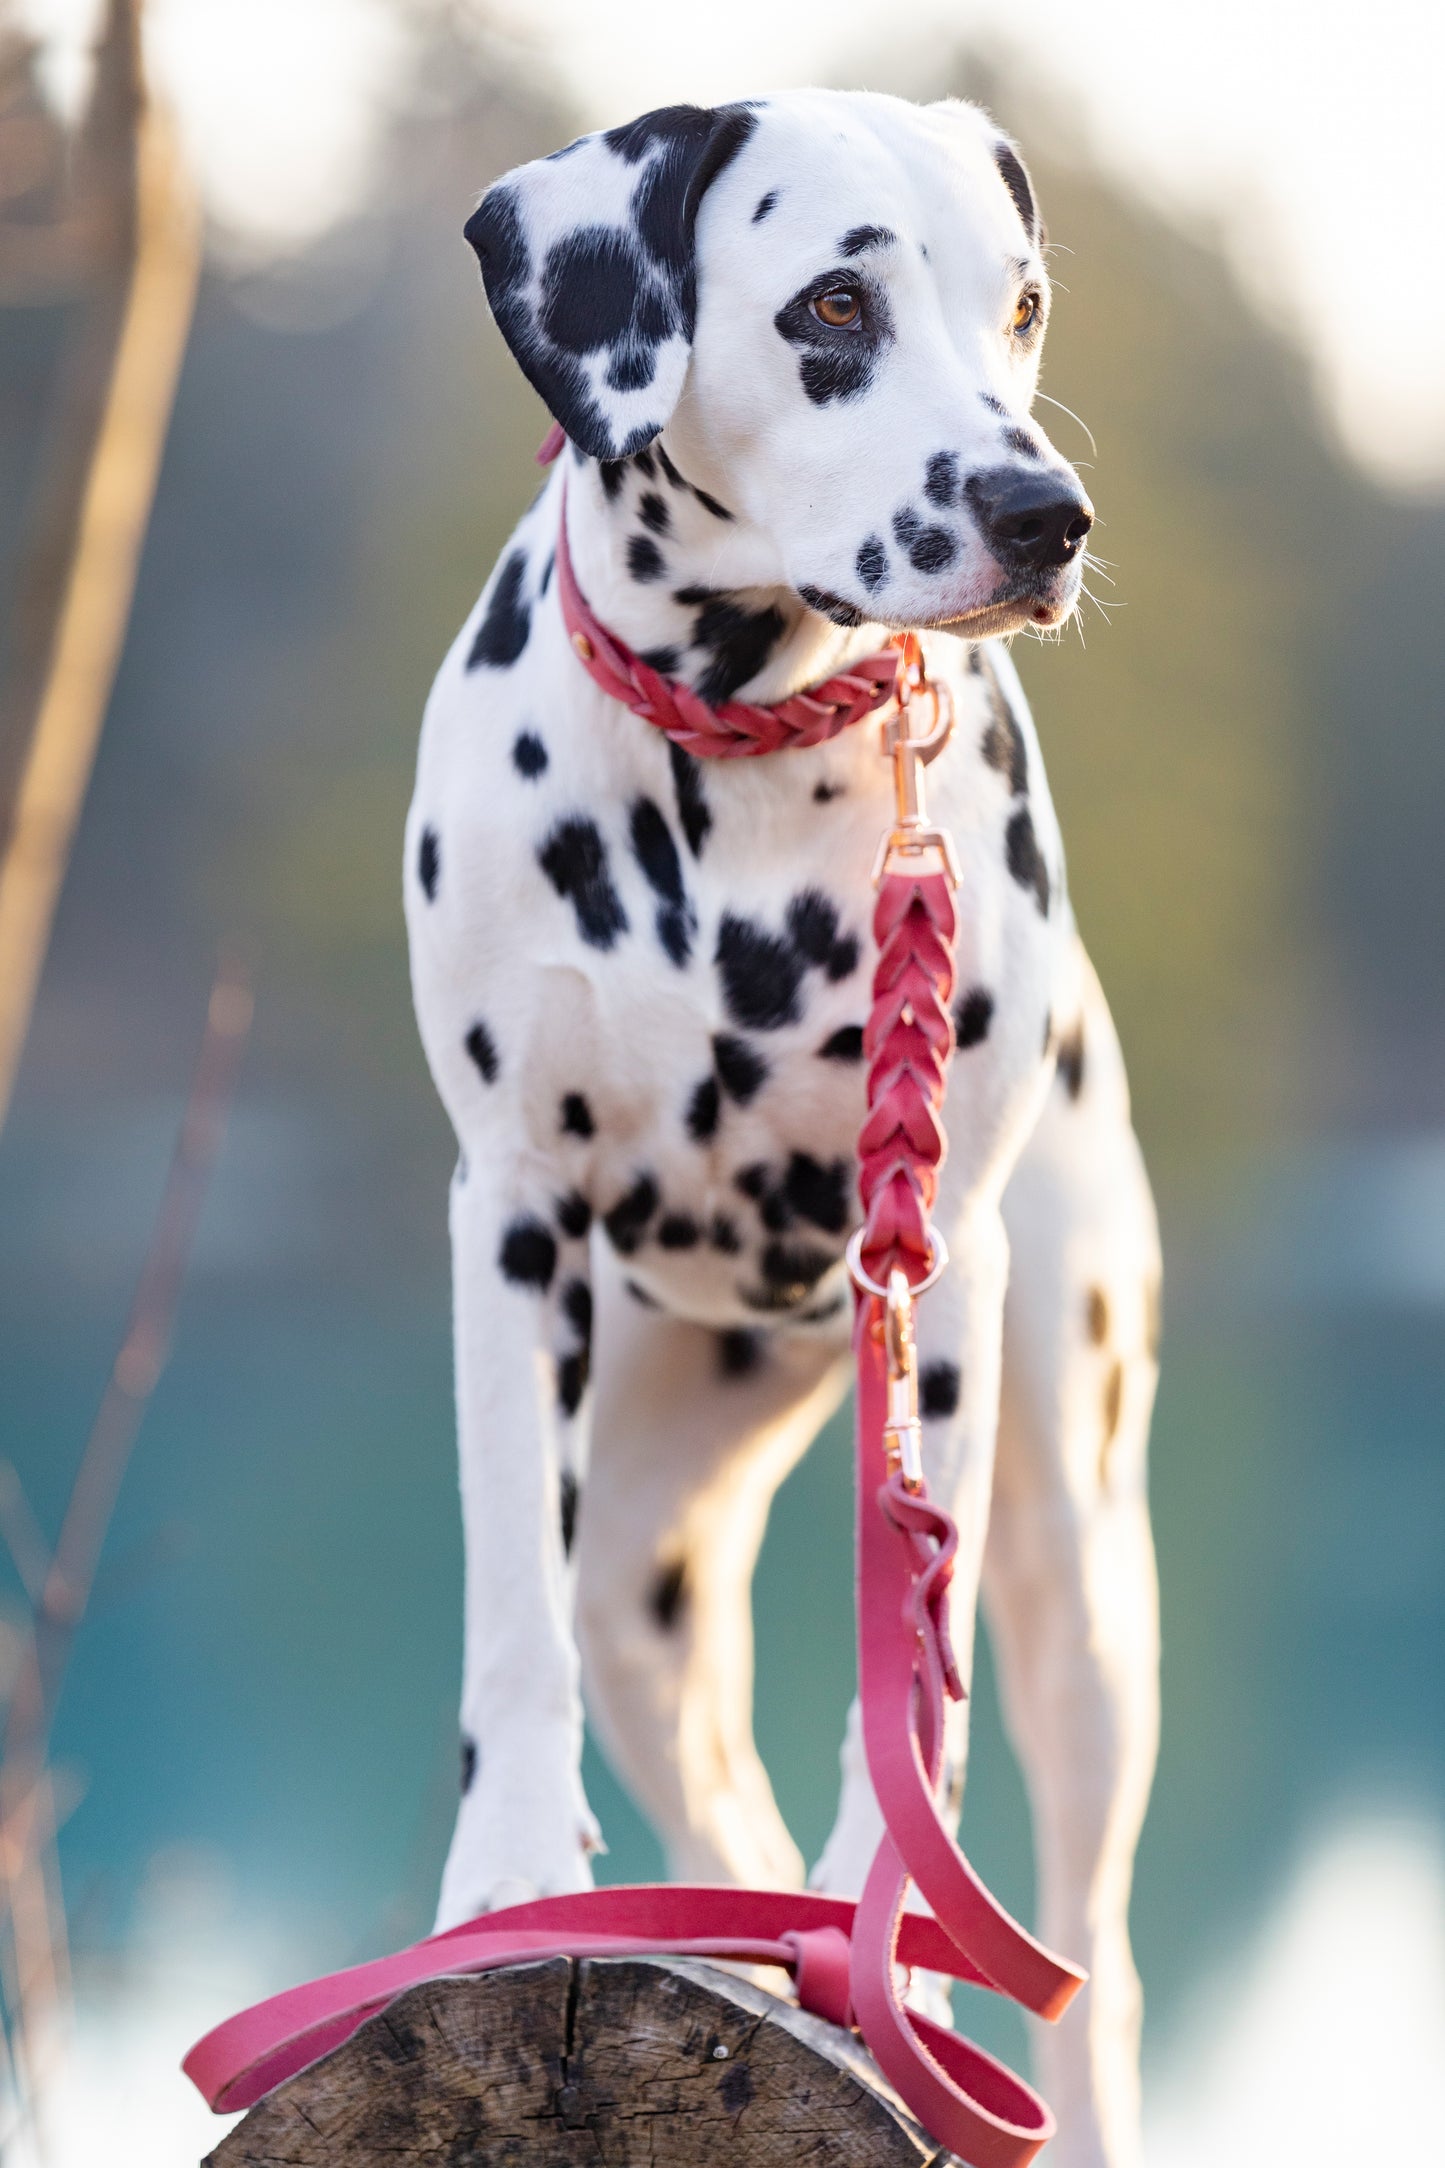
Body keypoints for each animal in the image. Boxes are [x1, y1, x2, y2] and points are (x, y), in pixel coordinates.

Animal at [409, 88, 1161, 2168]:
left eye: (1023, 305)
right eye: (834, 302)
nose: (1043, 517)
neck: (732, 759)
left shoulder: (948, 1281)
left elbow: (917, 1704)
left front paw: (893, 1940)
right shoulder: (509, 1223)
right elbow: (505, 1626)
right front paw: (504, 1885)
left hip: (1086, 1570)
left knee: (1091, 1956)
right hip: (646, 1565)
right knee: (683, 1761)